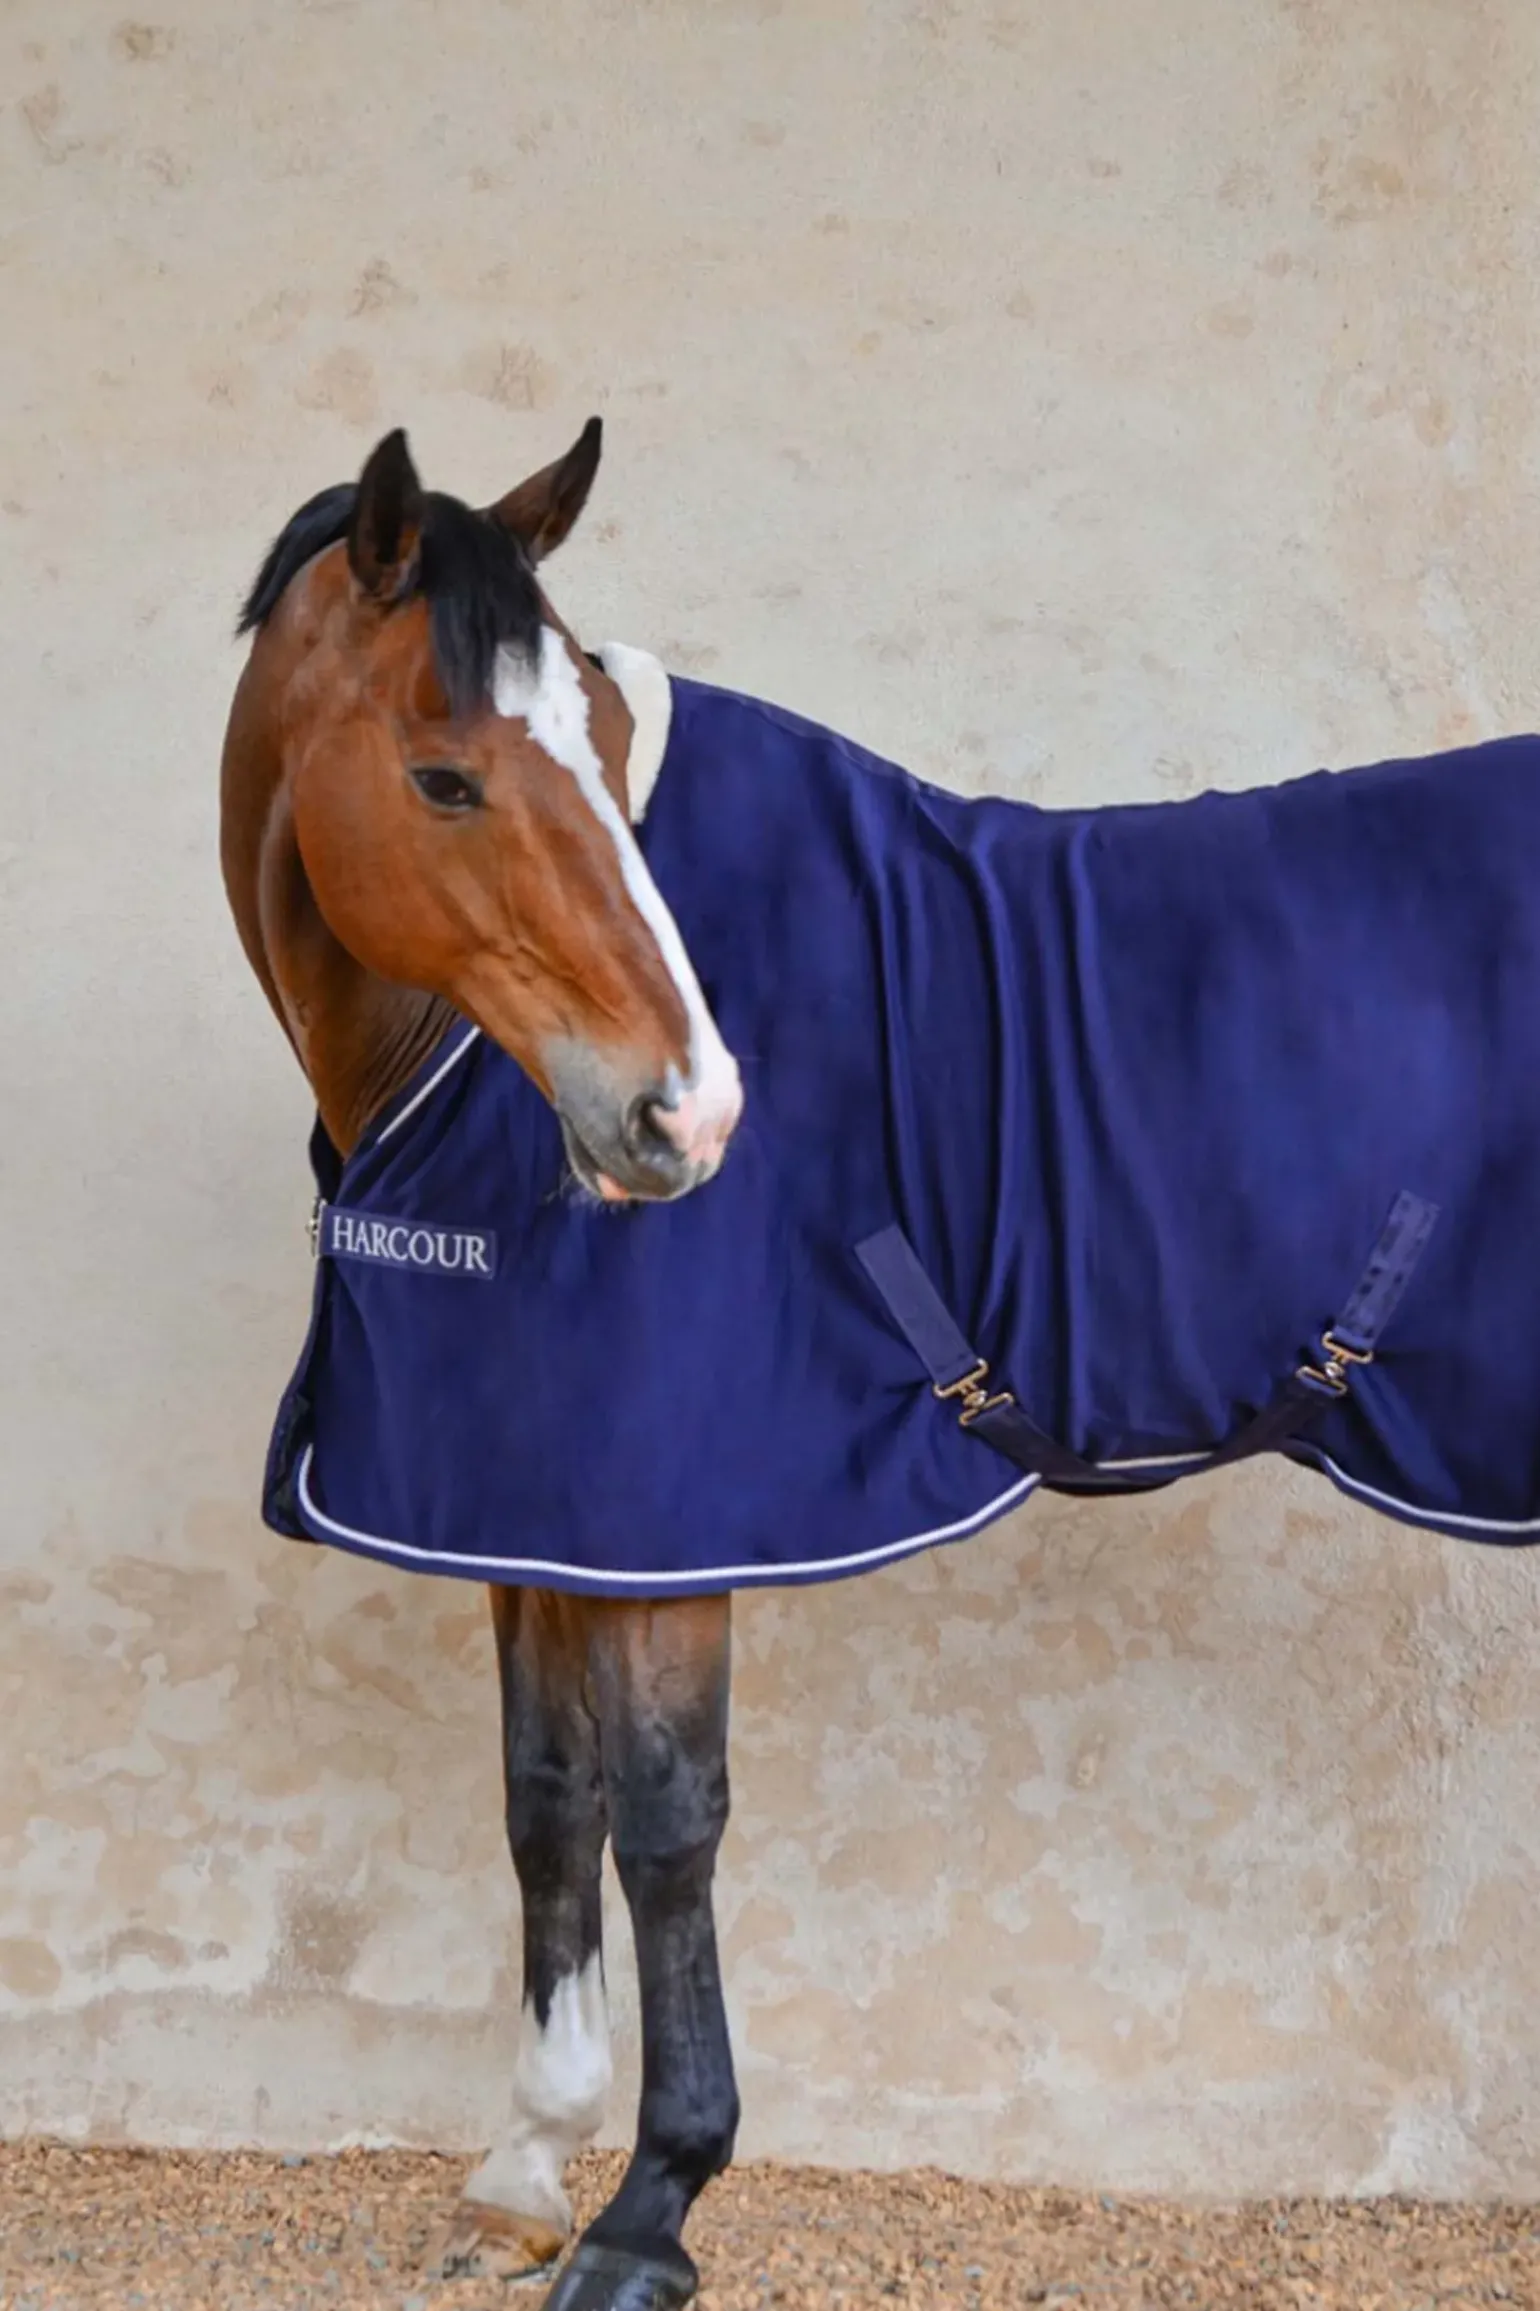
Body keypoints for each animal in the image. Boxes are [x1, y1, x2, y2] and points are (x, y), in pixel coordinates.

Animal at [221, 419, 1540, 2311]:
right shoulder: (525, 1502)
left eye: (605, 741)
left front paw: (650, 2208)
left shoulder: (667, 1518)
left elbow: (664, 1821)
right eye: (447, 777)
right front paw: (524, 2167)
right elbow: (544, 1800)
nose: (688, 1112)